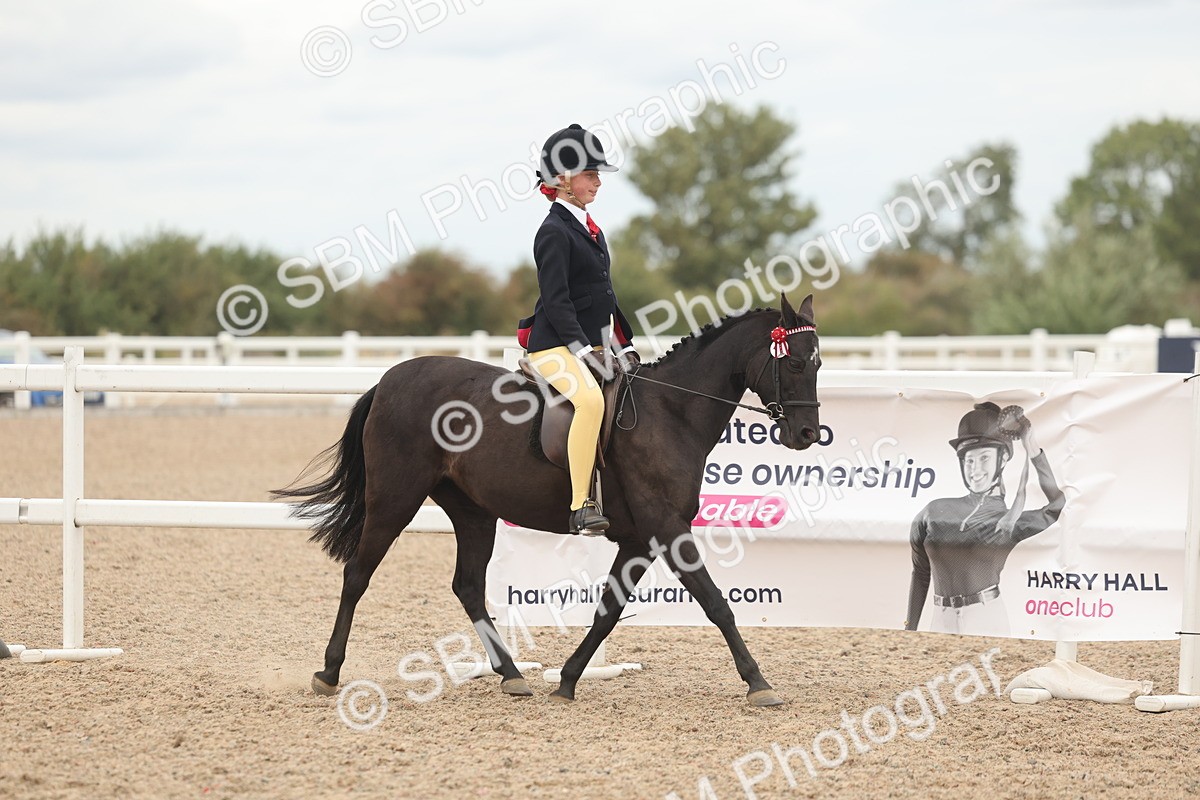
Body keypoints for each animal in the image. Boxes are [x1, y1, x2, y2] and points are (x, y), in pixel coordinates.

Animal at [274, 293, 821, 707]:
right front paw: (759, 683)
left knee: (467, 585)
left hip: (474, 512)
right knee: (358, 574)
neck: (671, 411)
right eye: (795, 362)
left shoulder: (639, 540)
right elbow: (715, 602)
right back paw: (328, 673)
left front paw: (568, 679)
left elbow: (607, 610)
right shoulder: (667, 529)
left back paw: (512, 675)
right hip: (395, 499)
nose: (807, 434)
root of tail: (390, 379)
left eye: (818, 363)